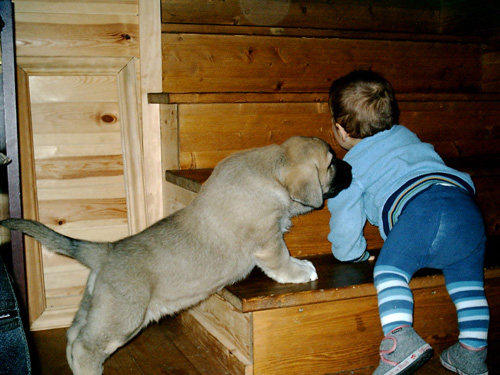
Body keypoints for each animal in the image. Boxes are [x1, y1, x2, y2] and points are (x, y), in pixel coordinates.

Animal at [0, 137, 352, 374]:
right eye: (332, 163)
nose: (350, 165)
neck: (274, 170)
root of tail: (106, 250)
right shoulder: (268, 238)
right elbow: (281, 260)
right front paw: (301, 270)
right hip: (123, 318)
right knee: (86, 347)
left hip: (97, 307)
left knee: (74, 336)